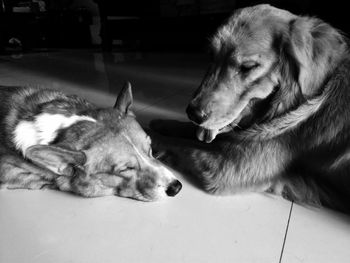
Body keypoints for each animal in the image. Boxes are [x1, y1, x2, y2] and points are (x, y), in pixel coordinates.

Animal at [151, 4, 350, 213]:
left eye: (248, 66)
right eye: (212, 55)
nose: (193, 113)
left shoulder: (228, 167)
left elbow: (181, 144)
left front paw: (149, 137)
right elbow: (193, 133)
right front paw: (163, 123)